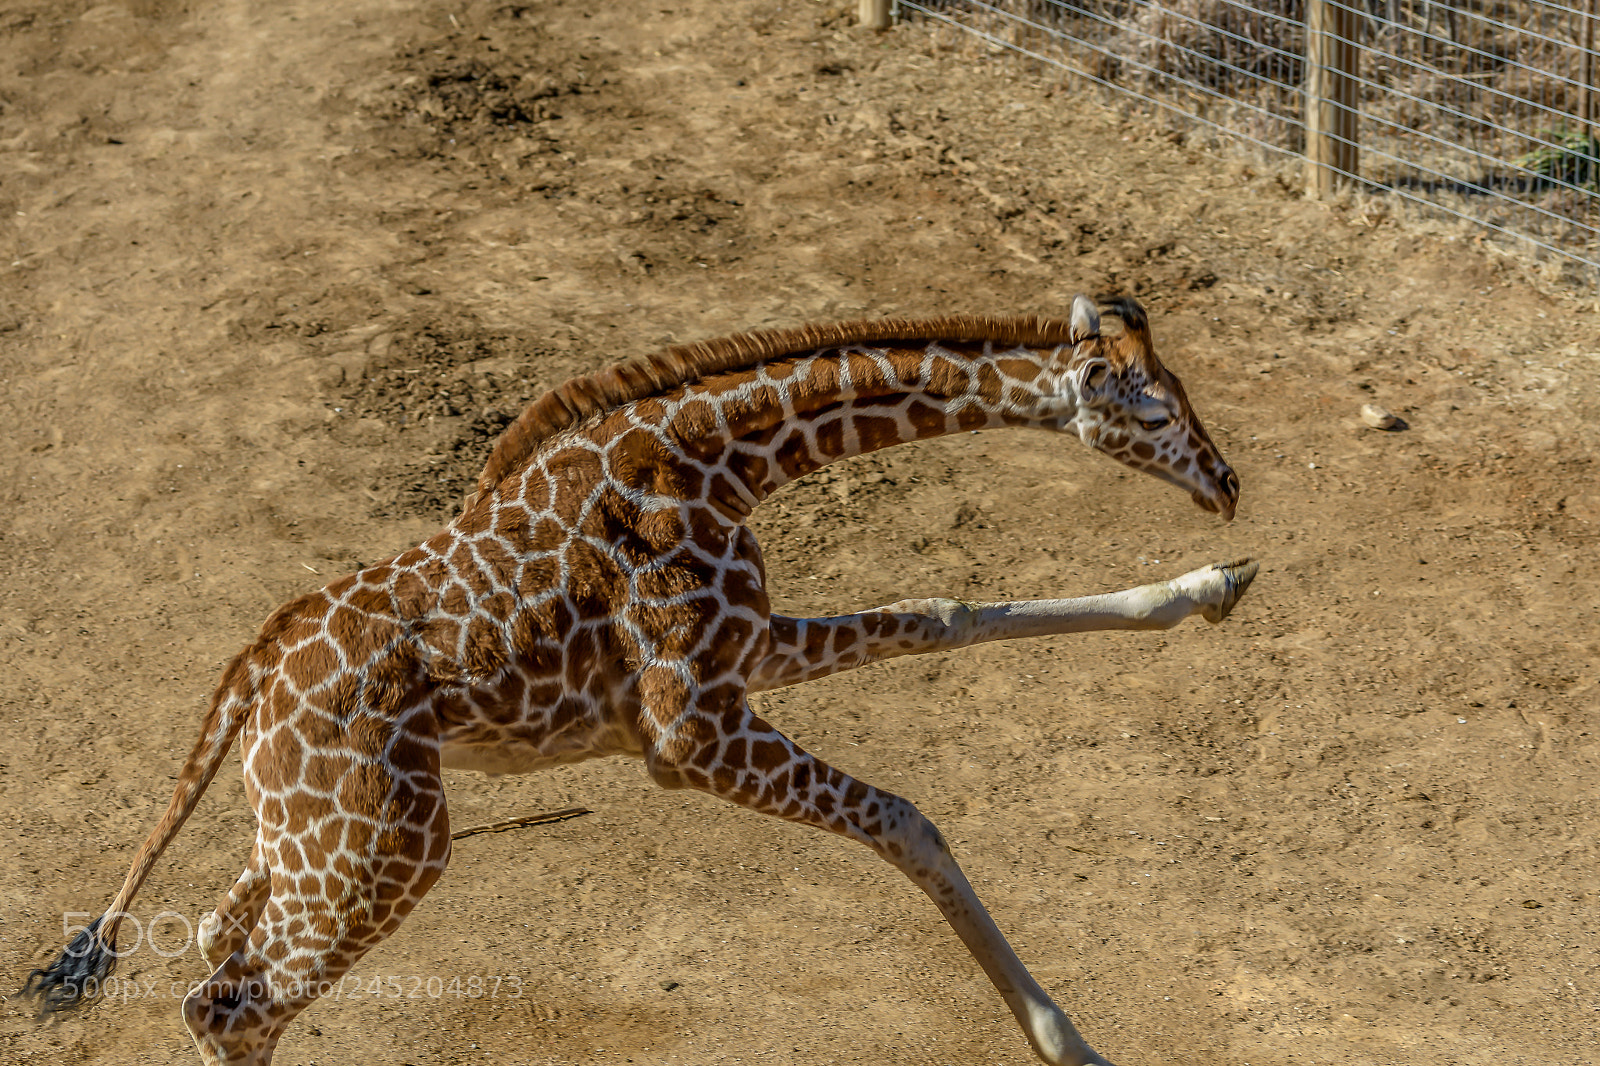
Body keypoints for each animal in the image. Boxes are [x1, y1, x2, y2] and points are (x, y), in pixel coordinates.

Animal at [23, 295, 1254, 1066]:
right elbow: (906, 818)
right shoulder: (688, 732)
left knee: (212, 956)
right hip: (390, 848)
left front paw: (1216, 587)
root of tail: (253, 667)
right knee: (228, 1003)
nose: (1229, 484)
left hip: (302, 835)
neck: (720, 460)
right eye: (1153, 407)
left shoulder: (742, 656)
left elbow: (947, 615)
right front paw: (1074, 1044)